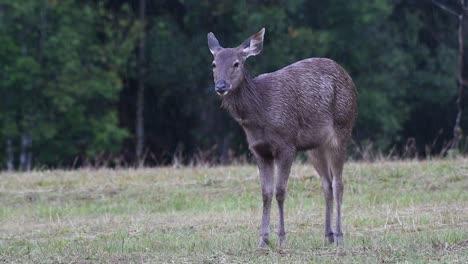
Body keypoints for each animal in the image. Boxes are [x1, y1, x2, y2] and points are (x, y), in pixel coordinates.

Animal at [207, 27, 356, 248]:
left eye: (237, 63)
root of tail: (350, 79)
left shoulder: (287, 144)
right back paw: (327, 235)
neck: (259, 115)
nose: (221, 86)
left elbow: (280, 191)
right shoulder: (259, 150)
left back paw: (339, 236)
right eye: (214, 64)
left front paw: (282, 237)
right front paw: (262, 239)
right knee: (326, 184)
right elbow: (266, 193)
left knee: (339, 183)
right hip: (315, 147)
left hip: (342, 129)